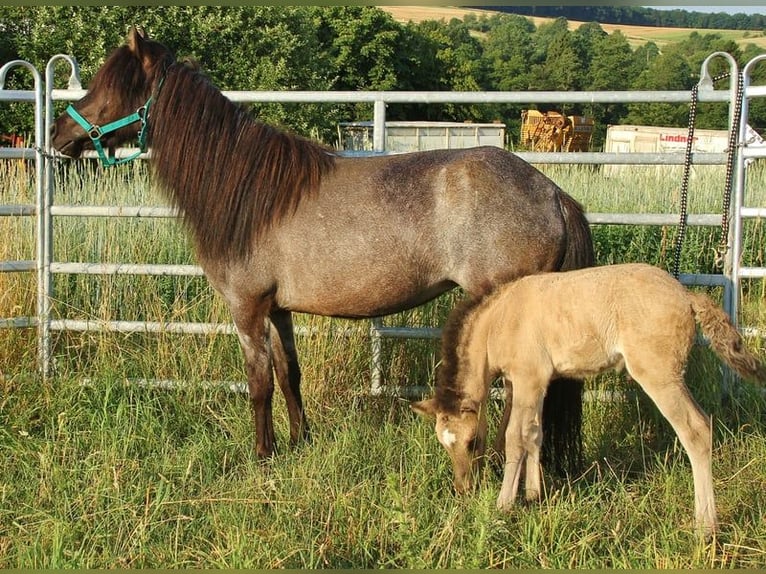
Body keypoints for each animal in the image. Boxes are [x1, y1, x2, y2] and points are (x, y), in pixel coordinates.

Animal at [51, 27, 595, 473]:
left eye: (110, 88)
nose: (58, 134)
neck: (249, 190)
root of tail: (552, 193)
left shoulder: (245, 308)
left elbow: (259, 383)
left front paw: (263, 455)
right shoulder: (278, 309)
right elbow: (289, 374)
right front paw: (300, 441)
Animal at [412, 262, 766, 537]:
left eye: (472, 442)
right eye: (444, 444)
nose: (463, 489)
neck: (499, 320)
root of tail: (685, 295)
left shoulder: (527, 380)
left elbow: (515, 438)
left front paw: (504, 504)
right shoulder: (536, 383)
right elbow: (535, 433)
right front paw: (534, 494)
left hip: (659, 376)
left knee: (696, 430)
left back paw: (705, 526)